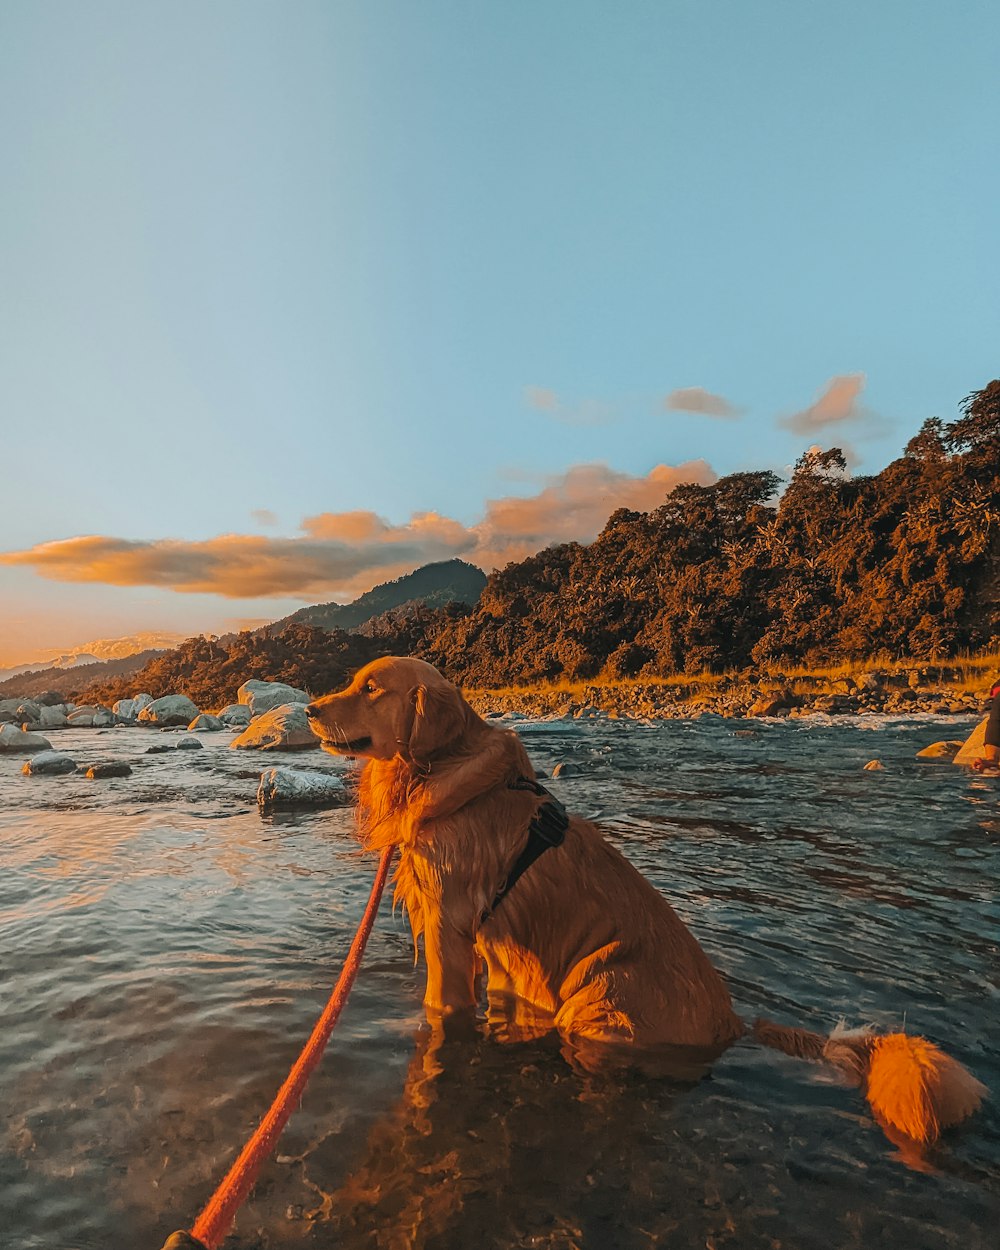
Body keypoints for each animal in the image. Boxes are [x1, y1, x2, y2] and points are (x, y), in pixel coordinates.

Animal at [305, 660, 985, 1145]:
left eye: (370, 687)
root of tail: (734, 1024)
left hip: (602, 990)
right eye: (351, 681)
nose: (309, 709)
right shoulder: (491, 949)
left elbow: (439, 1011)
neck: (438, 771)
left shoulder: (449, 928)